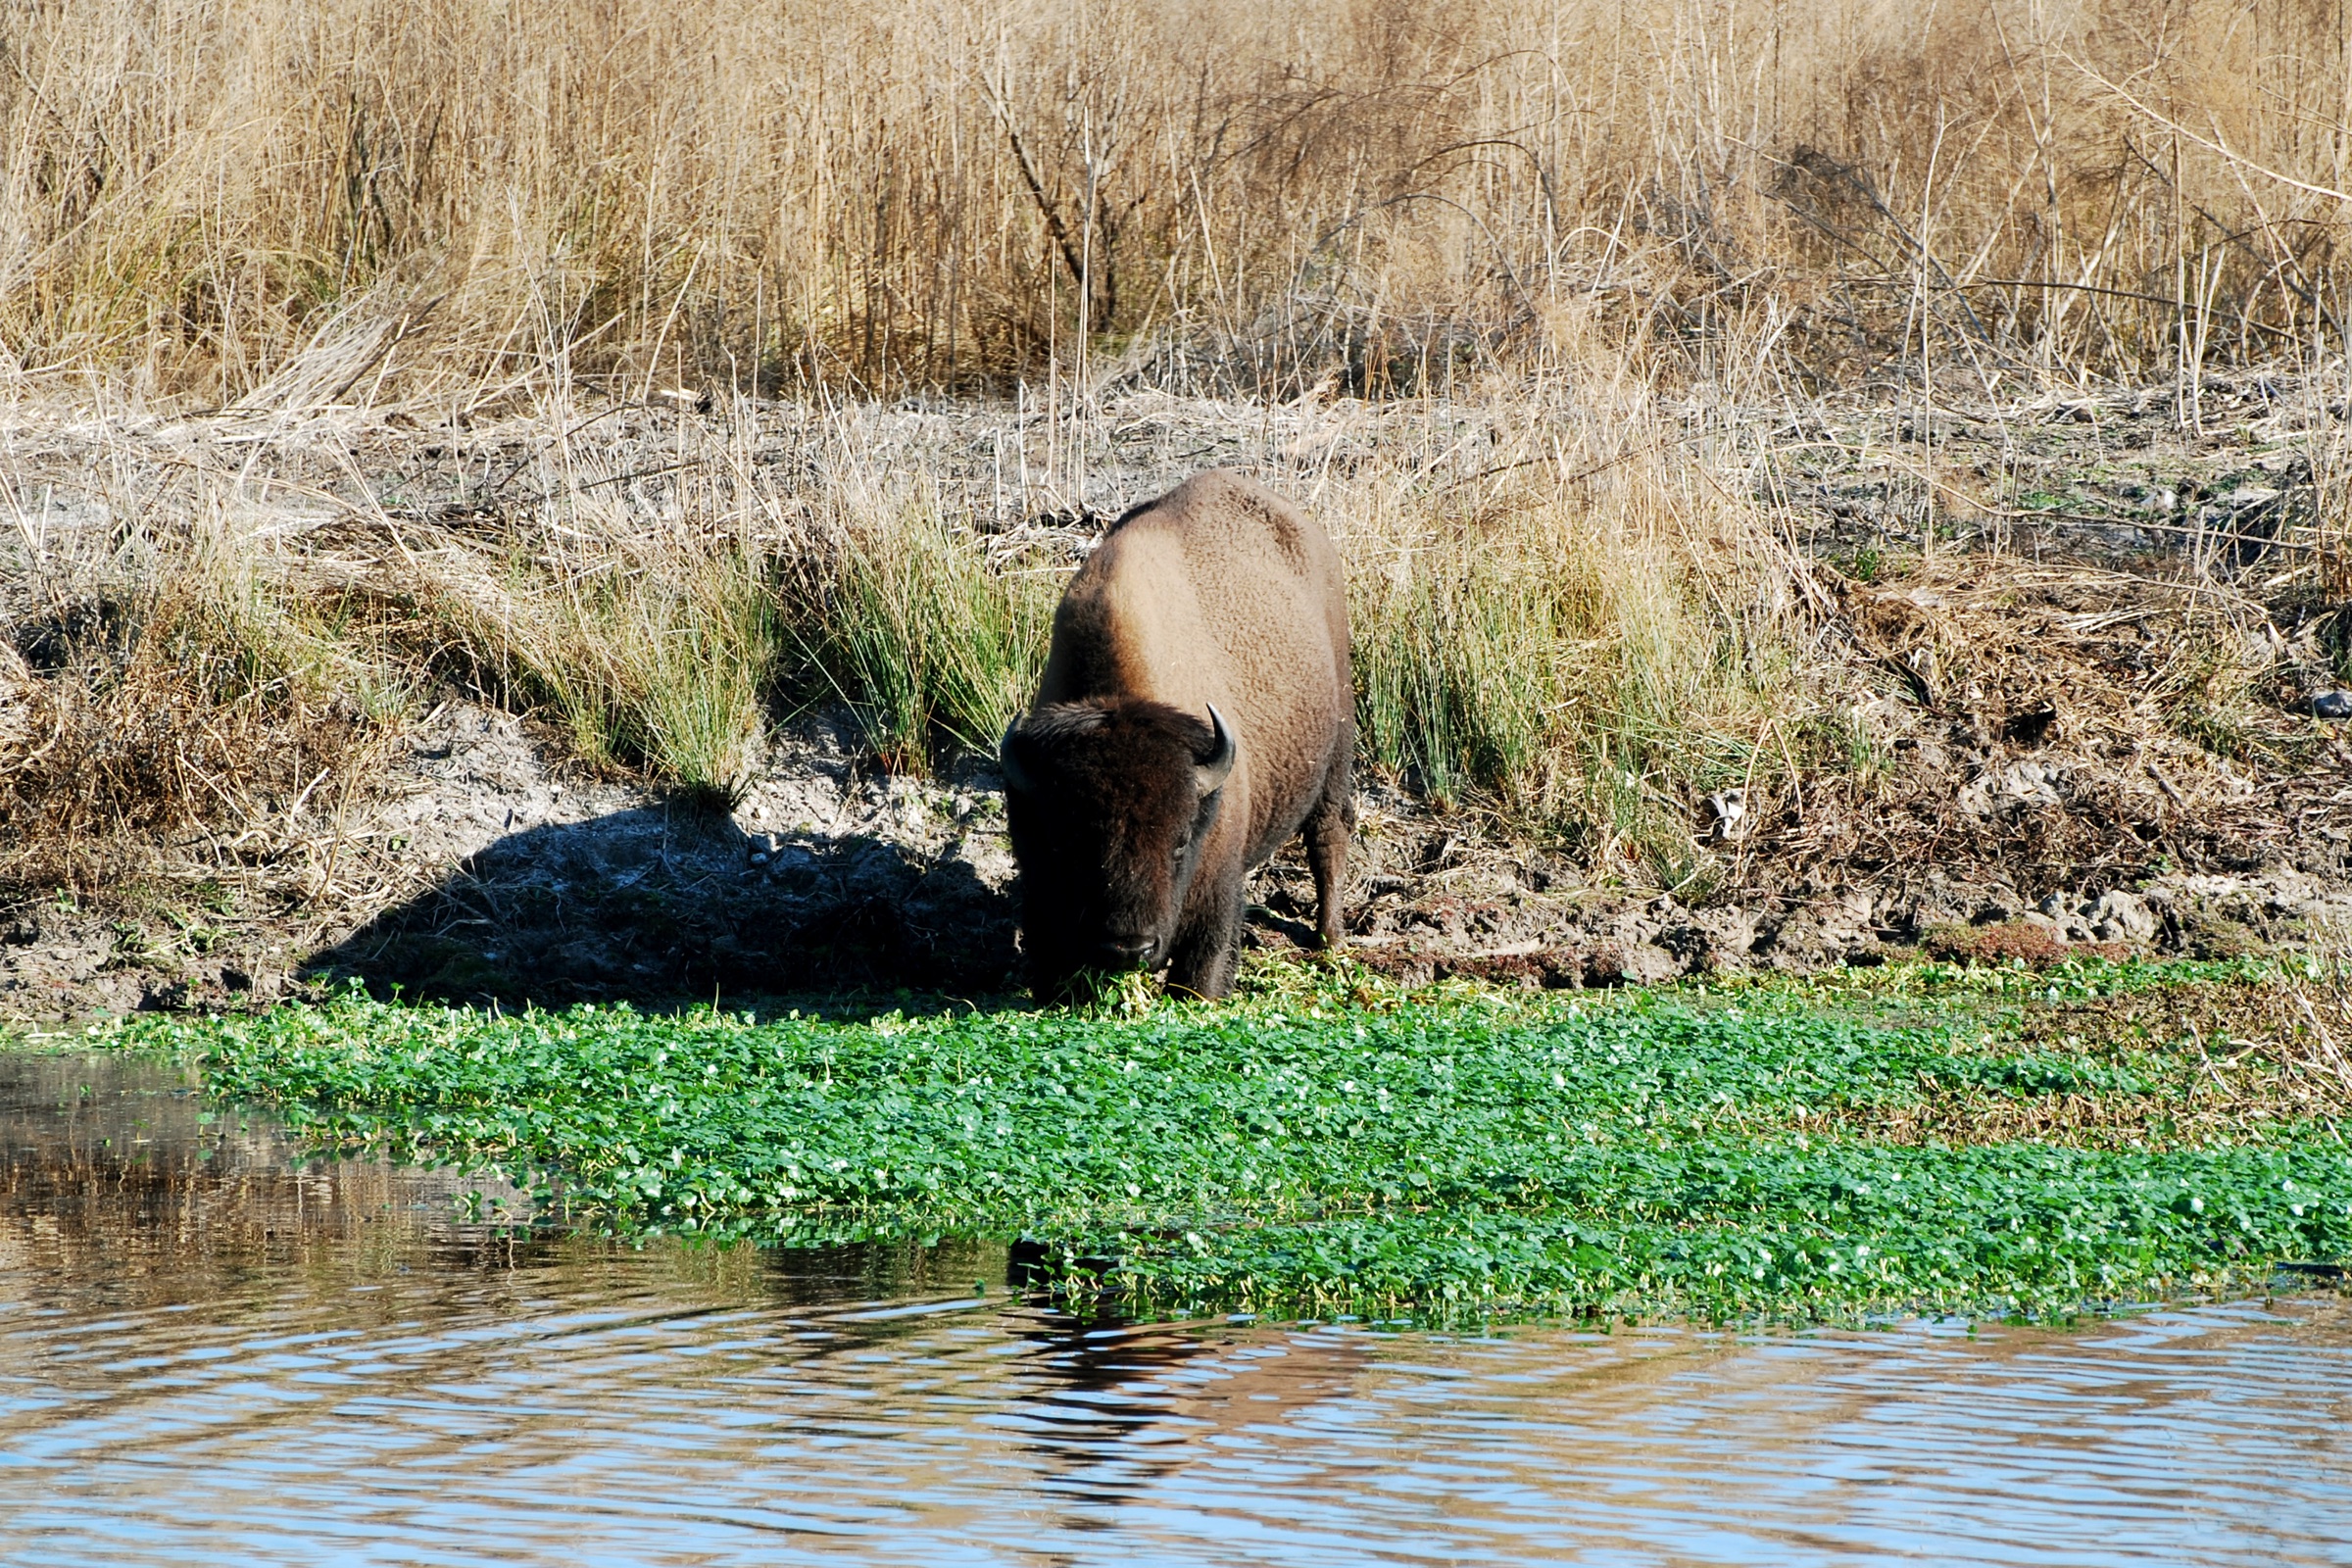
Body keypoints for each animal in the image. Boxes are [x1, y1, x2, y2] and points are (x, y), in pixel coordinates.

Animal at [998, 469, 1353, 999]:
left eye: (1181, 840)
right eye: (1068, 843)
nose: (1131, 947)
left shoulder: (1216, 905)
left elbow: (1201, 975)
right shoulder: (1041, 898)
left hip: (1336, 755)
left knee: (1328, 837)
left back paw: (1330, 942)